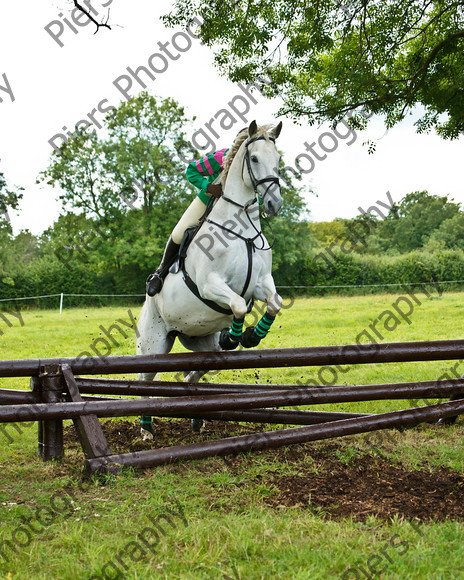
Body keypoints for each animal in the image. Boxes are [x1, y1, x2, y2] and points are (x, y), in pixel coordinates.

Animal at [136, 122, 284, 438]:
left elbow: (275, 303)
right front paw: (236, 336)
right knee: (145, 382)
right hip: (154, 344)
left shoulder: (262, 282)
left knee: (190, 376)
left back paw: (195, 417)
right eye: (254, 158)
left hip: (203, 344)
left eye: (277, 159)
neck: (242, 228)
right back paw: (146, 429)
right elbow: (238, 304)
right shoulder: (210, 284)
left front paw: (251, 336)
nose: (274, 204)